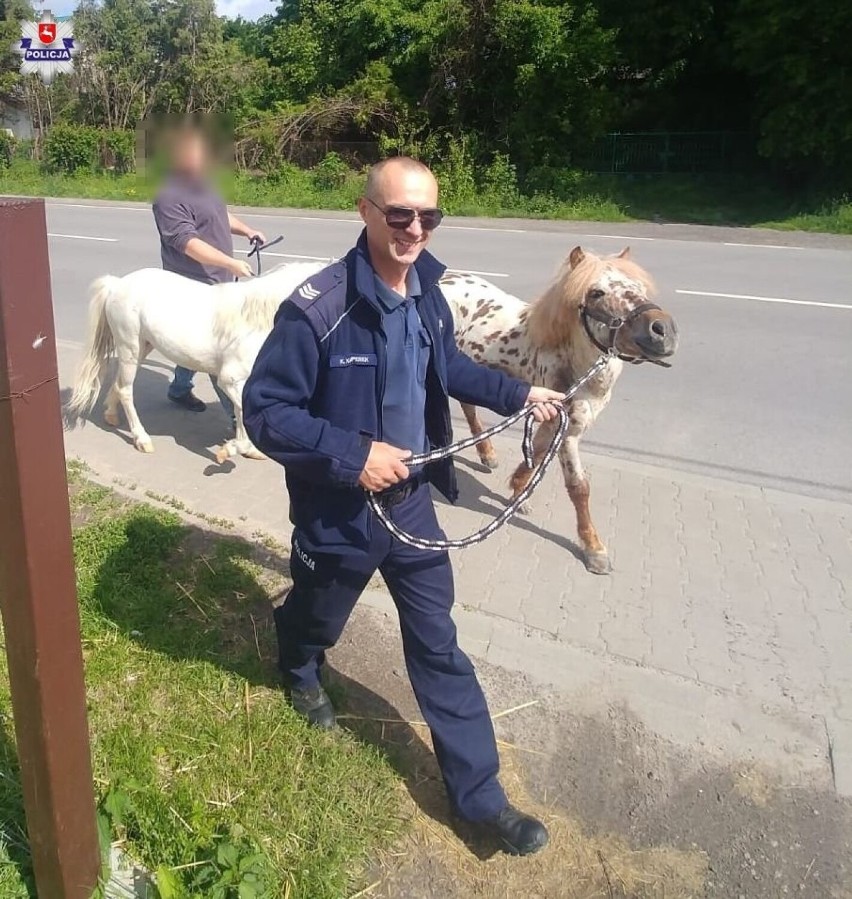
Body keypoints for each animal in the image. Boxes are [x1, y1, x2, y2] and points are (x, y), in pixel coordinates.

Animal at [64, 256, 326, 460]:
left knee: (119, 384)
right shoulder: (231, 380)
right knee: (126, 390)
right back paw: (142, 439)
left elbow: (243, 413)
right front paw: (233, 449)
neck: (257, 320)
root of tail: (117, 284)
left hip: (141, 348)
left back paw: (111, 415)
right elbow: (243, 411)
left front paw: (250, 450)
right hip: (130, 346)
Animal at [440, 243, 680, 572]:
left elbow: (538, 451)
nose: (663, 330)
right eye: (596, 292)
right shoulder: (567, 429)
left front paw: (519, 492)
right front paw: (593, 548)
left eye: (641, 287)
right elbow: (579, 487)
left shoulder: (560, 421)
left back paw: (487, 455)